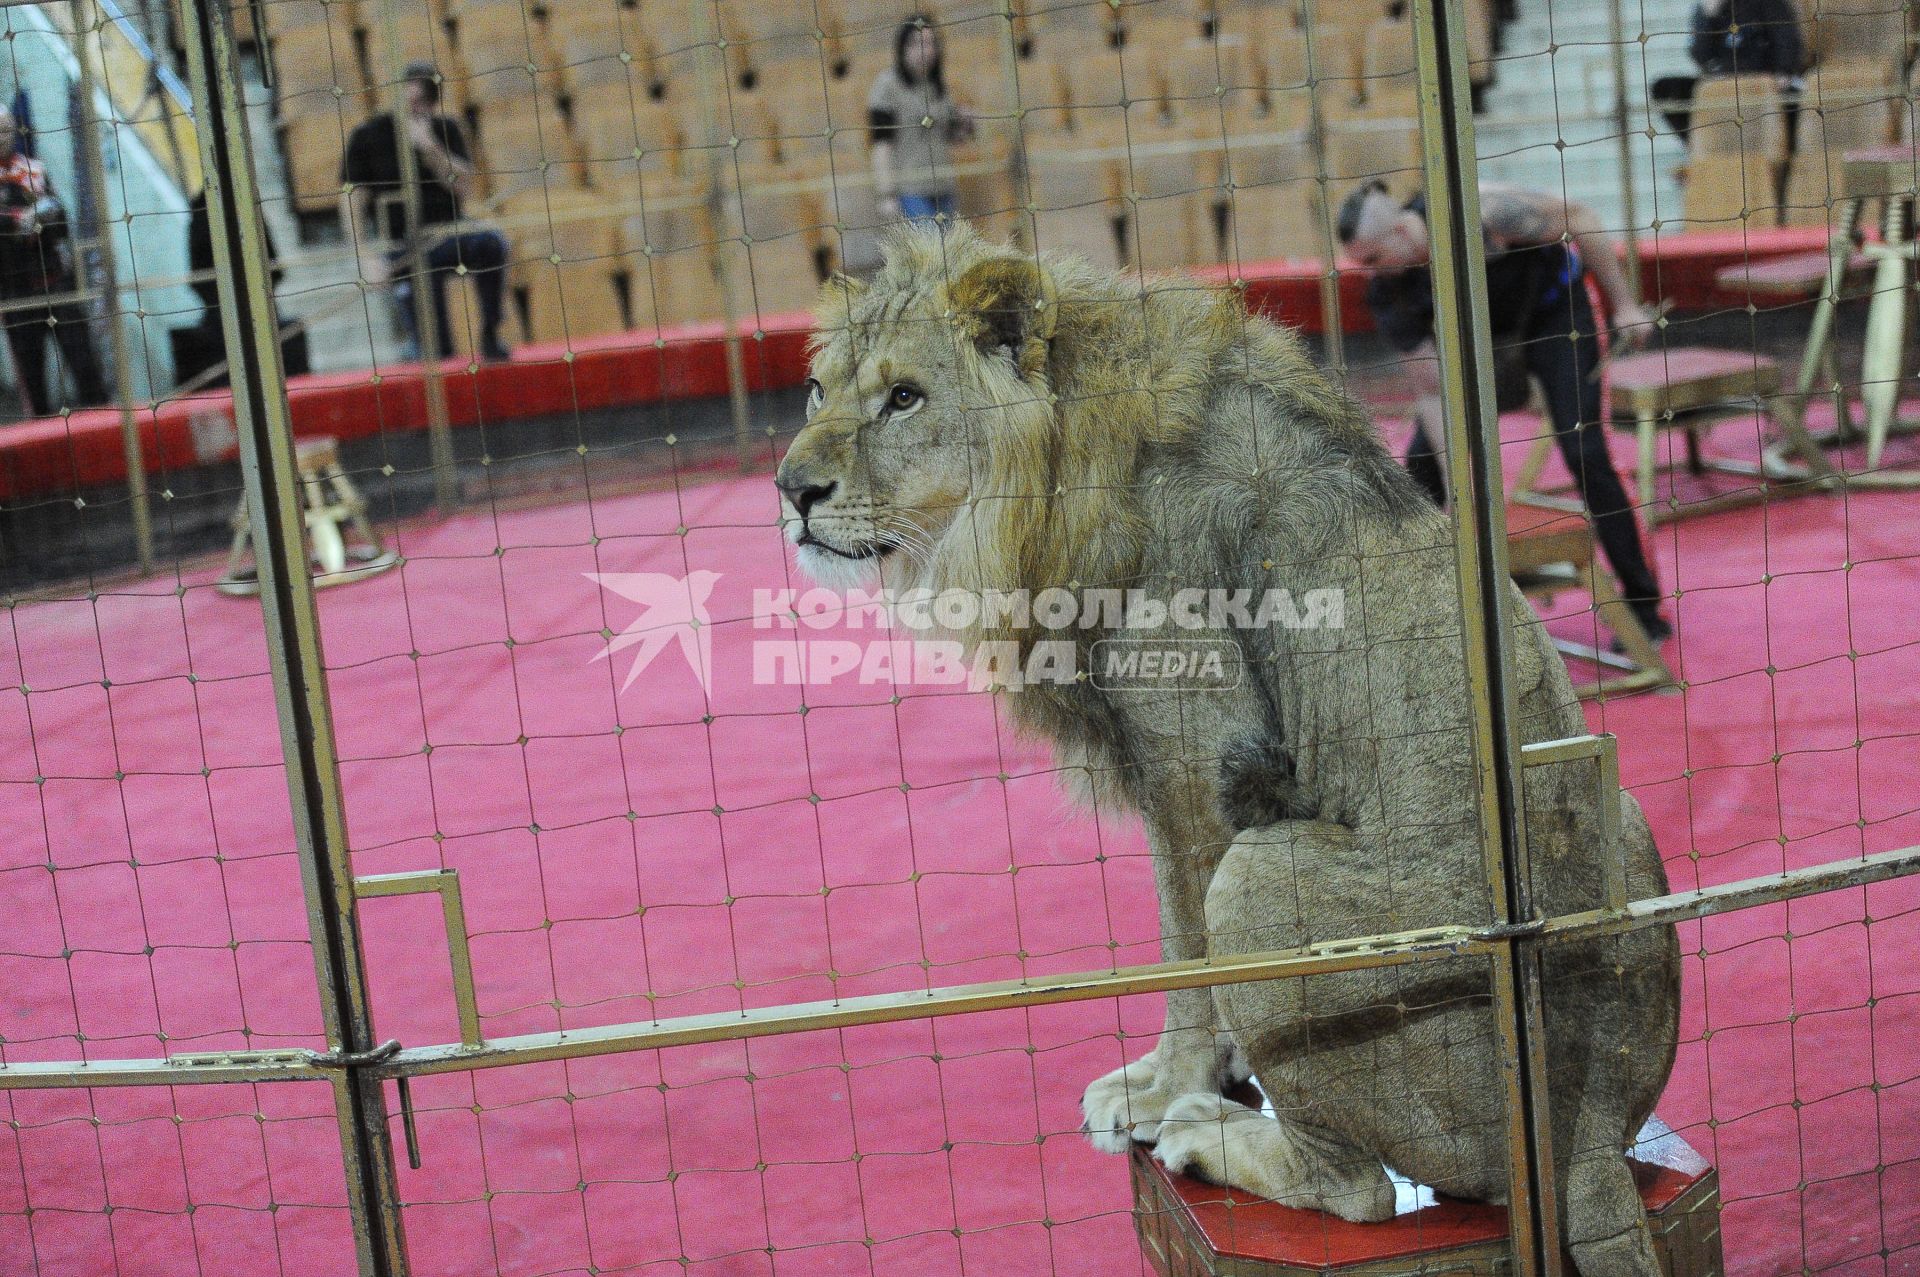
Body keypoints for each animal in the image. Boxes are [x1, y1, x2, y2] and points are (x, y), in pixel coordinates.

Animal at [775, 223, 1681, 1267]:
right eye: (817, 390)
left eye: (905, 396)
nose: (791, 490)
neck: (1049, 480)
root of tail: (1589, 1136)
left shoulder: (1199, 768)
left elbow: (1187, 948)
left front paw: (1168, 1086)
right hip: (1627, 811)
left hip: (1262, 876)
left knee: (1361, 1188)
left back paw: (1213, 1134)